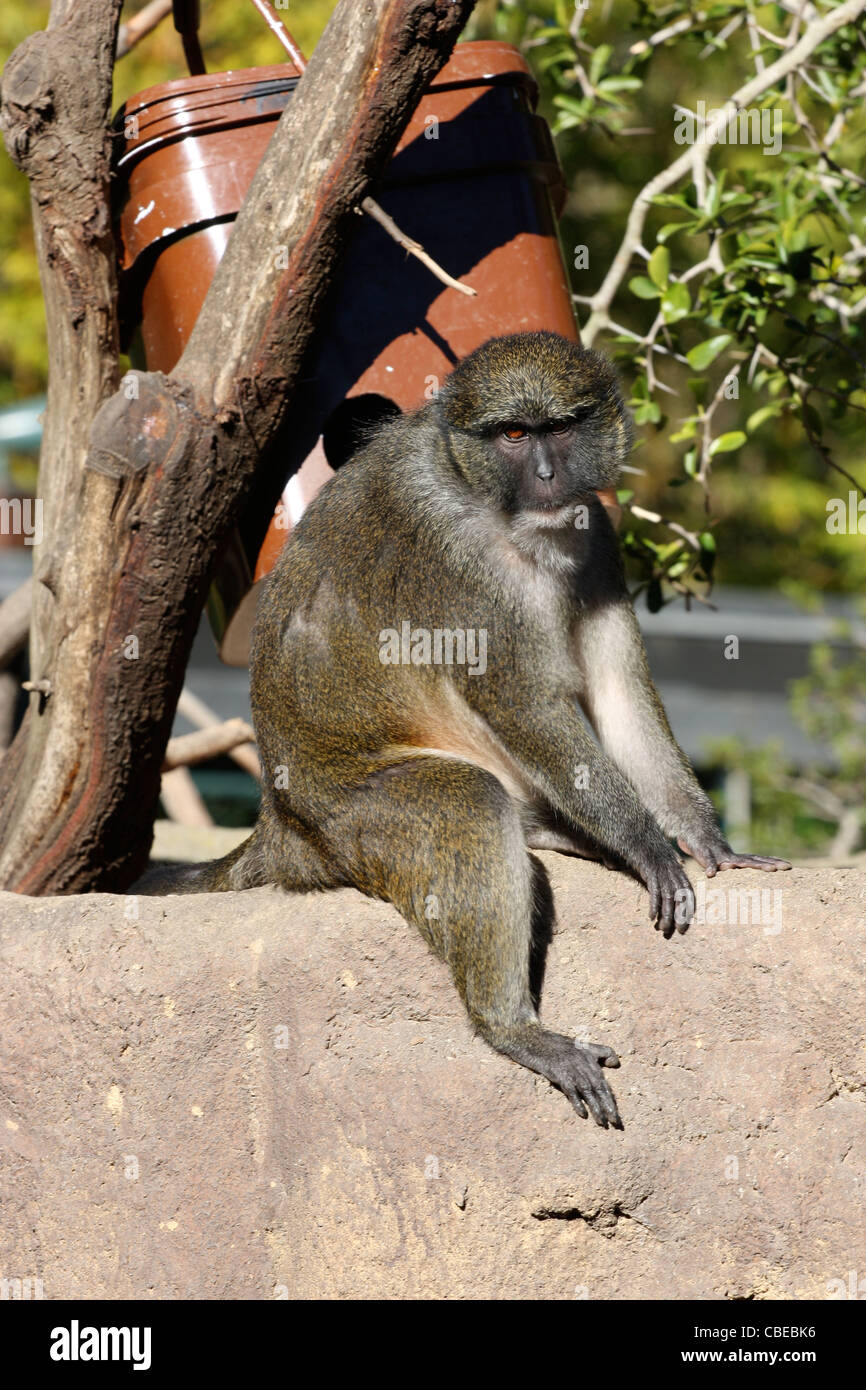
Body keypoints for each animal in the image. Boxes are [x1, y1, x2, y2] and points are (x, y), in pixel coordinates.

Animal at [142, 330, 795, 1123]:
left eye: (560, 428)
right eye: (512, 435)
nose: (546, 476)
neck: (485, 494)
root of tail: (281, 827)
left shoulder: (596, 533)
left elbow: (620, 694)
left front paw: (707, 841)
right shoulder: (456, 557)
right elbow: (521, 703)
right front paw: (646, 843)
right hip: (355, 824)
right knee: (469, 802)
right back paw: (511, 1026)